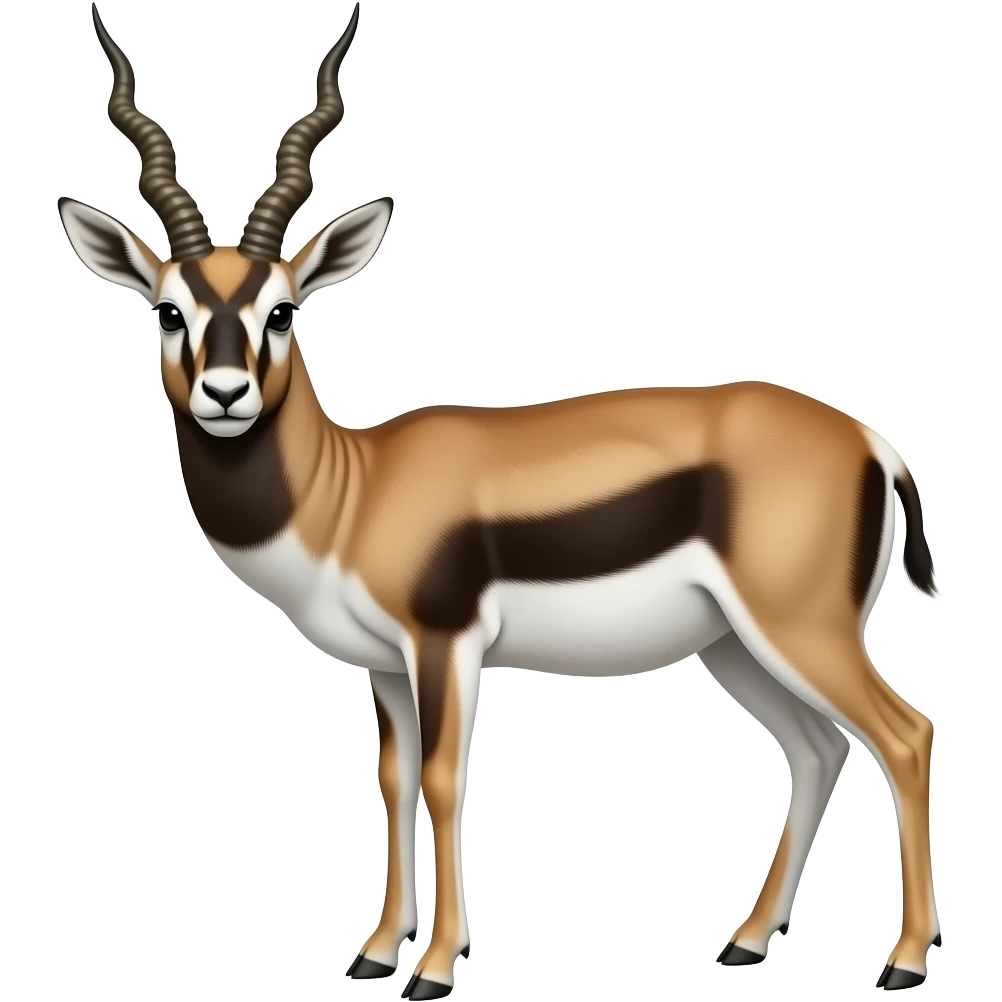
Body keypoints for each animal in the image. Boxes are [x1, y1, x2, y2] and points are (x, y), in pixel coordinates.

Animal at [57, 5, 943, 998]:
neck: (354, 492)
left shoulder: (445, 642)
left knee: (906, 735)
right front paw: (373, 954)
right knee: (818, 748)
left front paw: (435, 968)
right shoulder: (386, 666)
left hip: (801, 628)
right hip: (735, 644)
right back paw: (747, 942)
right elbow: (395, 781)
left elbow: (446, 780)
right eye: (168, 311)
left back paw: (904, 962)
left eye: (281, 311)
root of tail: (871, 443)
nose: (223, 394)